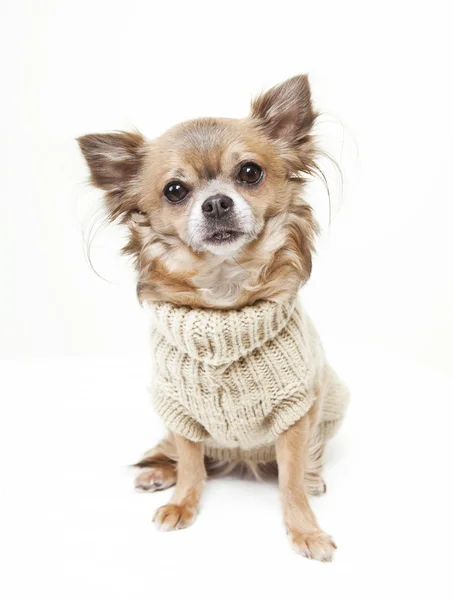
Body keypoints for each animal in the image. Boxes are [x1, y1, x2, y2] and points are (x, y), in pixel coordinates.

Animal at [79, 76, 350, 564]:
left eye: (249, 173)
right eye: (174, 190)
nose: (217, 203)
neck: (225, 299)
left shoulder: (296, 412)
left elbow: (291, 481)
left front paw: (305, 529)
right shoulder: (180, 410)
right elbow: (190, 464)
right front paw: (182, 503)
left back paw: (314, 476)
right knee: (174, 451)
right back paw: (158, 472)